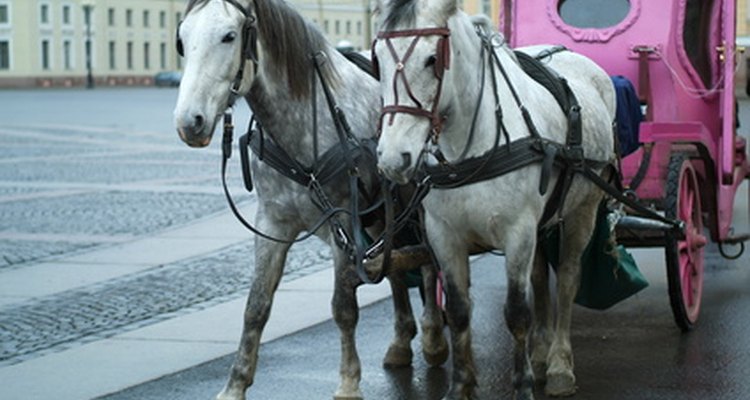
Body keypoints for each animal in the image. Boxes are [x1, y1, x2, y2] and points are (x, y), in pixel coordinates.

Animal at [173, 0, 450, 400]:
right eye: (181, 39)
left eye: (229, 35)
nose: (188, 123)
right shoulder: (273, 223)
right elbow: (256, 306)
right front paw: (235, 384)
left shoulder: (342, 224)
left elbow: (343, 307)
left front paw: (349, 381)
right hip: (383, 215)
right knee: (396, 269)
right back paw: (401, 342)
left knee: (427, 264)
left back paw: (433, 338)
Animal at [374, 1, 616, 398]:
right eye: (376, 59)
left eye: (432, 59)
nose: (394, 158)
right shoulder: (444, 235)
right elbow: (459, 310)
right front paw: (460, 385)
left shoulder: (518, 231)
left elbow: (517, 312)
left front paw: (522, 386)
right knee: (539, 276)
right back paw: (540, 352)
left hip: (584, 210)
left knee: (567, 279)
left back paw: (559, 363)